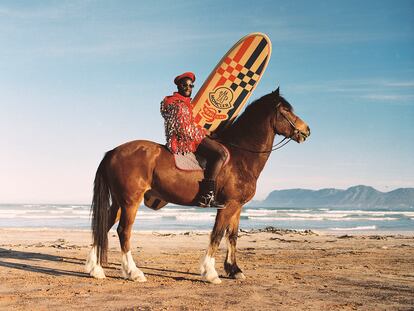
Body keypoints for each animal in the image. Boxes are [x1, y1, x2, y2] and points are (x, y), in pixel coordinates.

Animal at [85, 88, 310, 286]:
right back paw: (134, 272)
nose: (307, 130)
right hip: (131, 201)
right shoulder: (227, 206)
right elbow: (217, 235)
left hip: (119, 201)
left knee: (104, 226)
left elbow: (232, 236)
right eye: (286, 110)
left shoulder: (237, 206)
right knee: (124, 231)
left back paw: (96, 269)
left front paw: (234, 270)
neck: (241, 156)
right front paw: (210, 273)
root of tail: (113, 151)